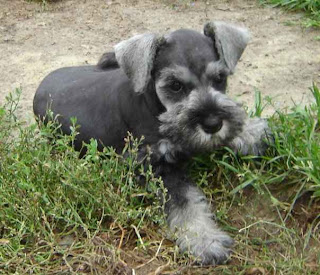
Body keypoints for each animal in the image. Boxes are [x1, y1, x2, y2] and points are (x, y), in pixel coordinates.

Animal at [33, 21, 272, 266]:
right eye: (175, 85)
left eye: (220, 78)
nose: (213, 123)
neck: (155, 107)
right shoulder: (154, 167)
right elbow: (184, 201)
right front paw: (205, 240)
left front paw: (252, 131)